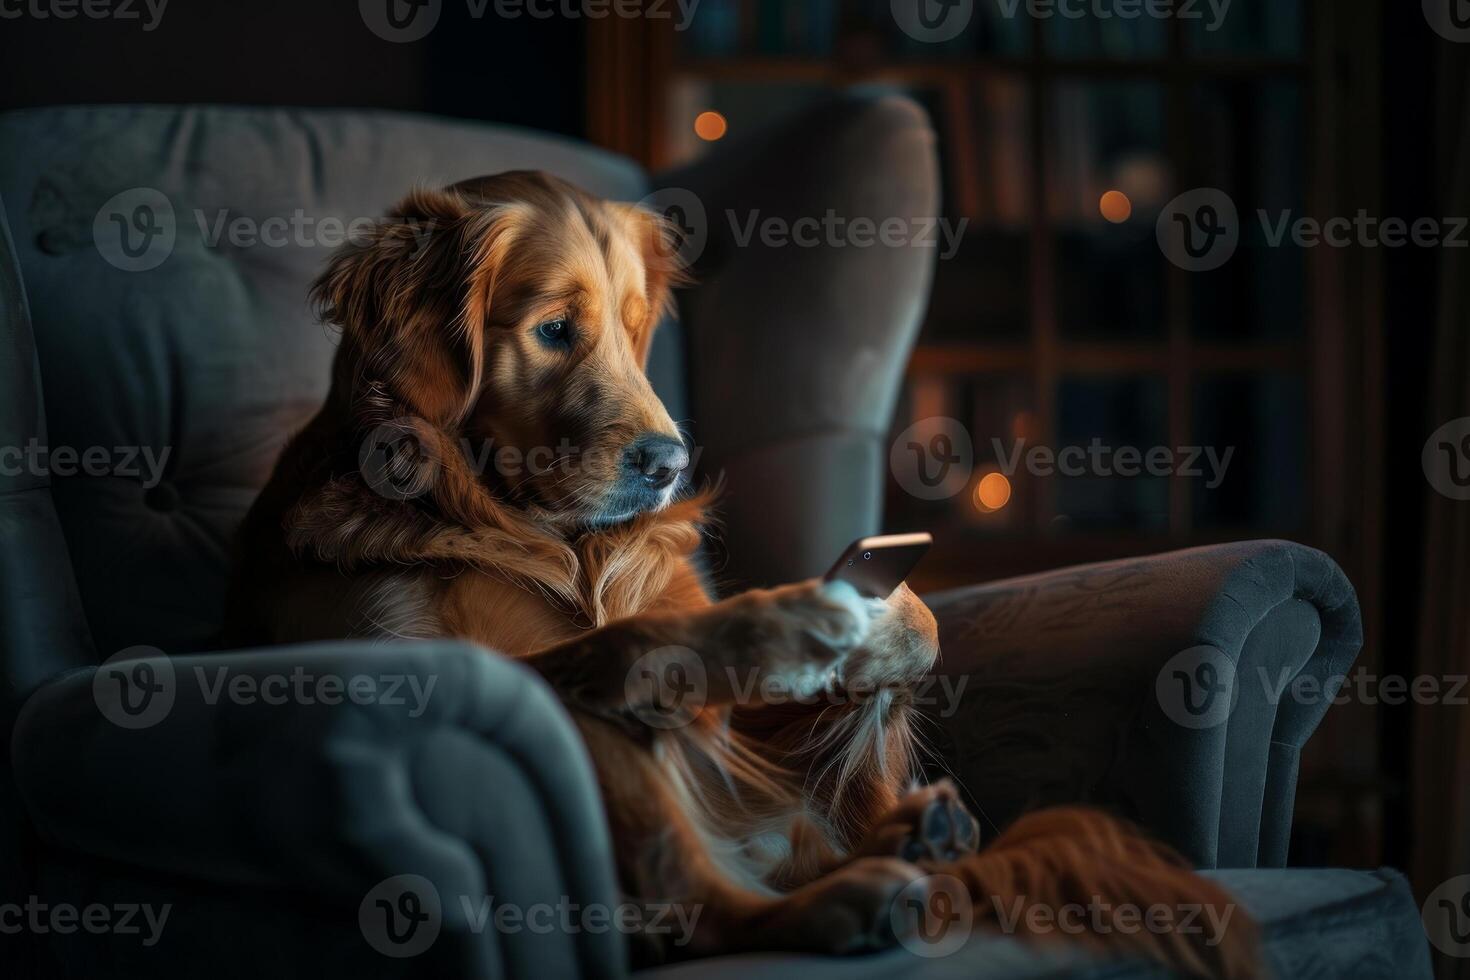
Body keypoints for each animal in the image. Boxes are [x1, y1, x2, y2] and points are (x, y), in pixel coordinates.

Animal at [226, 172, 1252, 975]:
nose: (668, 462)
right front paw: (792, 622)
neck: (551, 538)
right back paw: (849, 898)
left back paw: (916, 837)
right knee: (698, 906)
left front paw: (880, 630)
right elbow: (643, 640)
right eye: (554, 329)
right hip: (599, 753)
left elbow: (908, 625)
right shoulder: (437, 653)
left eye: (636, 327)